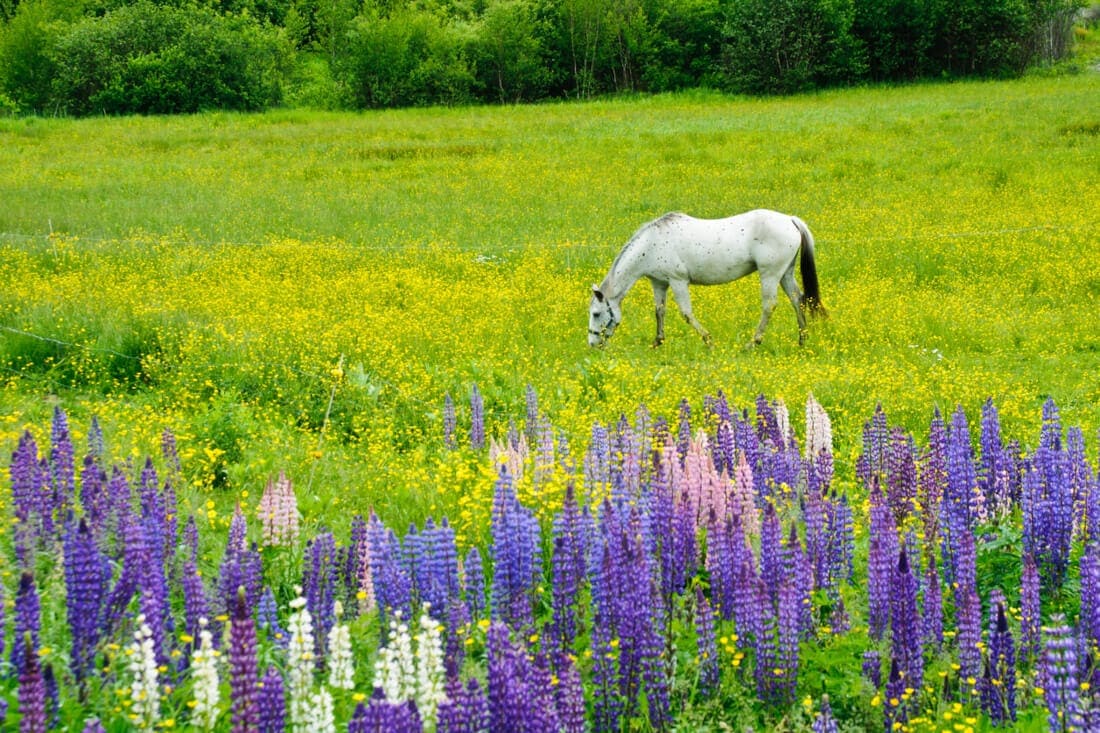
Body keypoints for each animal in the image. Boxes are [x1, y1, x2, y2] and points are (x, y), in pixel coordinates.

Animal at [587, 209, 826, 348]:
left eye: (596, 313)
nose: (592, 343)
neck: (652, 243)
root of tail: (791, 220)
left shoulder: (678, 281)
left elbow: (686, 313)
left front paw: (708, 341)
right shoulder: (659, 283)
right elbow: (659, 311)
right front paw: (658, 342)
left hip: (770, 274)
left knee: (769, 305)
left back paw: (753, 343)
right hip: (785, 274)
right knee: (797, 299)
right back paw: (802, 340)